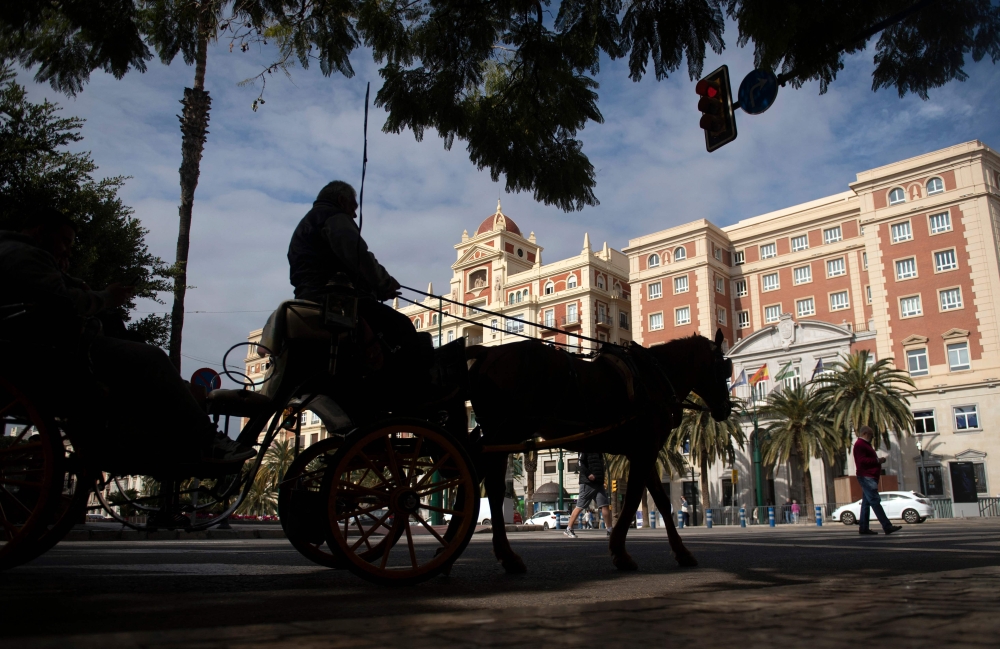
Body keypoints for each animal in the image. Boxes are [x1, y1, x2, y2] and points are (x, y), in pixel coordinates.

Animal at [464, 330, 732, 572]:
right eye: (724, 368)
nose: (726, 409)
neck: (654, 377)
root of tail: (488, 352)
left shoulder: (644, 451)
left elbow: (662, 502)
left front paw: (681, 552)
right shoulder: (644, 451)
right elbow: (633, 500)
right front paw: (620, 552)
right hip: (506, 433)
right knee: (491, 486)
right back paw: (504, 554)